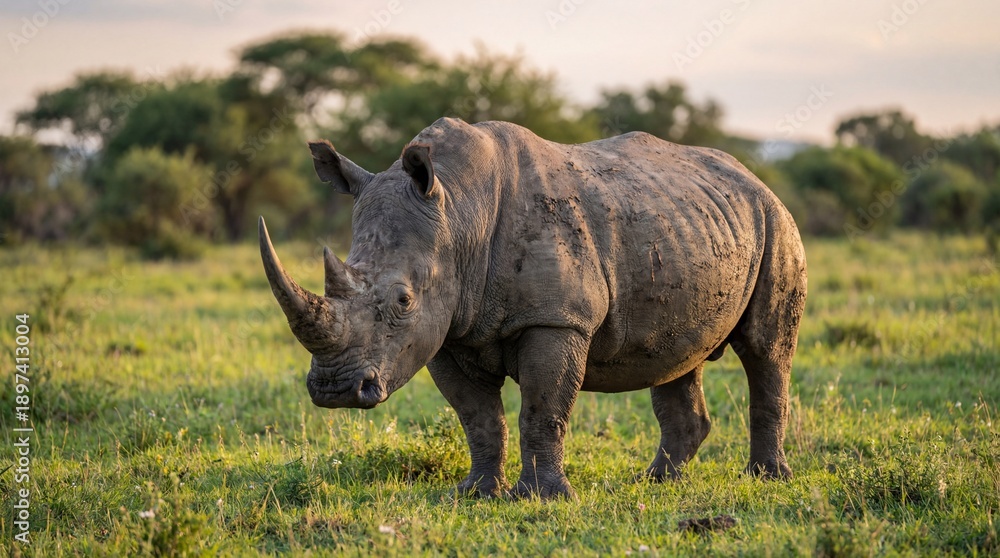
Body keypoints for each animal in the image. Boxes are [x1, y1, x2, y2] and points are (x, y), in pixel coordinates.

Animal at [258, 117, 807, 499]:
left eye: (403, 300)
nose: (335, 391)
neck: (458, 212)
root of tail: (753, 177)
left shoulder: (556, 319)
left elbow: (542, 410)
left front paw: (543, 499)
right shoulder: (447, 331)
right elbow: (479, 417)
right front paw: (475, 494)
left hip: (775, 221)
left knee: (766, 351)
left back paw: (767, 480)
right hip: (684, 225)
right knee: (675, 355)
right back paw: (653, 484)